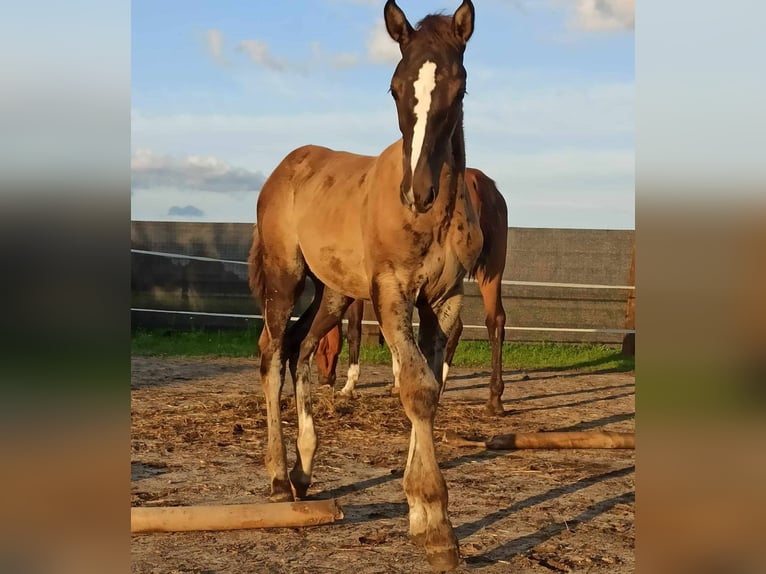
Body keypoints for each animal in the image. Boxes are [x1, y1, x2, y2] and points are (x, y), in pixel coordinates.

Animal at [250, 3, 480, 572]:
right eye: (395, 87)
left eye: (458, 87)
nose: (417, 191)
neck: (432, 219)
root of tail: (284, 167)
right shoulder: (391, 291)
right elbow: (416, 388)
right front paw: (438, 529)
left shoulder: (444, 301)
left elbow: (428, 387)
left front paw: (418, 513)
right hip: (285, 277)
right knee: (271, 352)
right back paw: (276, 477)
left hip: (332, 292)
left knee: (301, 347)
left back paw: (303, 473)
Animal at [318, 169, 510, 416]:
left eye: (322, 349)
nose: (324, 380)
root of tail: (475, 180)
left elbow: (355, 332)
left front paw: (350, 386)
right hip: (491, 271)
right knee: (492, 321)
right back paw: (491, 398)